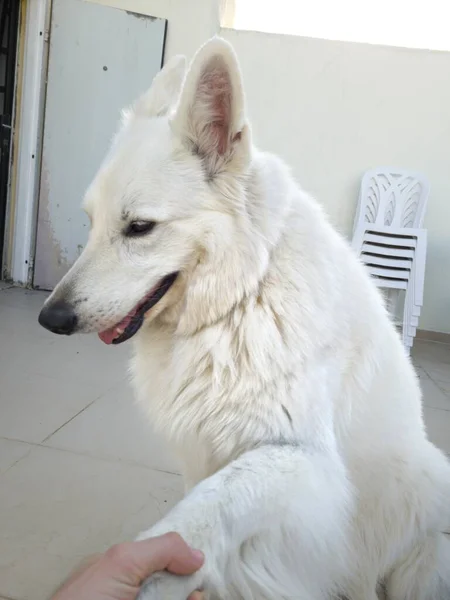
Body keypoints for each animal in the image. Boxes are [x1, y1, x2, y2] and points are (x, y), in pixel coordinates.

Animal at [39, 38, 450, 600]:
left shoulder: (298, 457)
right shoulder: (204, 454)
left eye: (140, 227)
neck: (243, 296)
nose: (49, 318)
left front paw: (154, 578)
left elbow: (200, 519)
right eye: (90, 222)